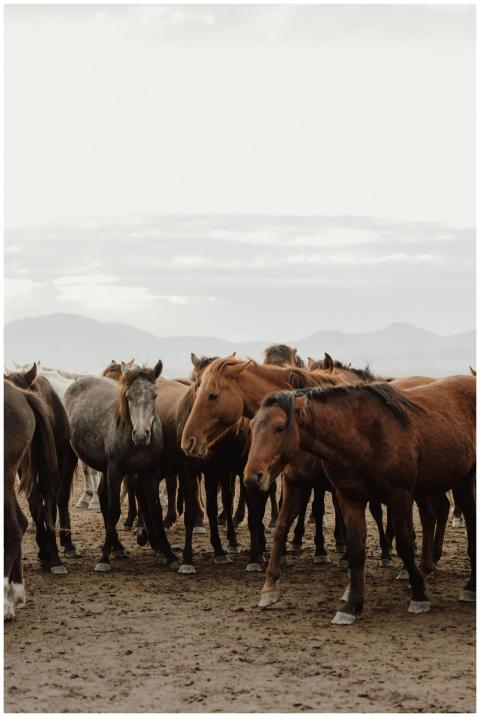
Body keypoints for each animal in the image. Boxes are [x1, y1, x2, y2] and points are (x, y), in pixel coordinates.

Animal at [5, 363, 79, 568]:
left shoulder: (55, 469)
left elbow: (51, 503)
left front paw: (54, 556)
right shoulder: (25, 470)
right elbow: (35, 503)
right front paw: (44, 550)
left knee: (62, 498)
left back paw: (68, 544)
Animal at [65, 361, 179, 571]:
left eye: (155, 395)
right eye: (128, 396)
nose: (141, 435)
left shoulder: (150, 473)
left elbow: (155, 509)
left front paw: (169, 555)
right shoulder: (116, 472)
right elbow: (114, 510)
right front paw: (103, 558)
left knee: (102, 496)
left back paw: (117, 546)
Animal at [244, 376, 475, 624]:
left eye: (279, 427)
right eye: (251, 427)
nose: (252, 477)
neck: (363, 436)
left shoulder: (399, 495)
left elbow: (404, 544)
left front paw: (419, 595)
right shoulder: (342, 496)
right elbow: (353, 546)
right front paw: (351, 605)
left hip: (459, 482)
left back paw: (464, 585)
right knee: (436, 514)